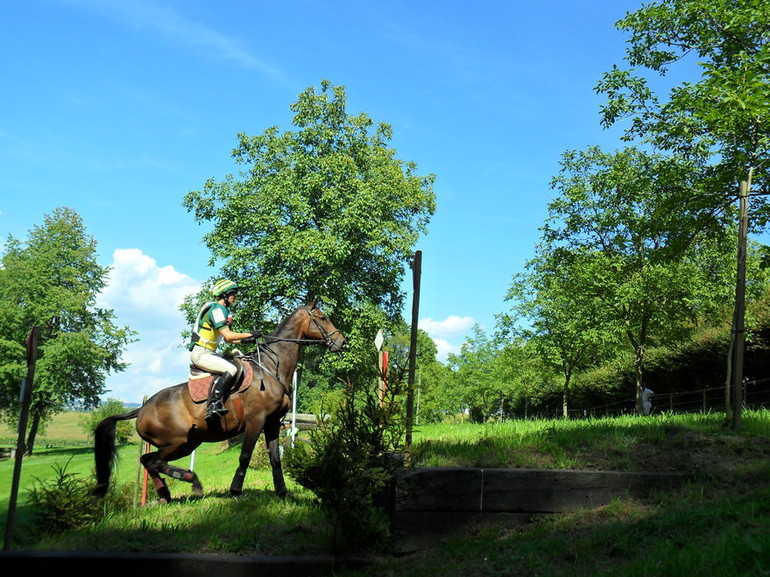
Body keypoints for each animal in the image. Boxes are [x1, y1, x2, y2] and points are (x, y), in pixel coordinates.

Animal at [91, 300, 344, 502]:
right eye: (323, 318)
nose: (341, 342)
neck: (271, 368)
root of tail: (142, 408)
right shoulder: (256, 421)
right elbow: (245, 456)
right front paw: (236, 490)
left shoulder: (272, 423)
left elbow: (275, 459)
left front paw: (282, 492)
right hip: (176, 441)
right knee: (153, 462)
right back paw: (190, 479)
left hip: (187, 443)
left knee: (148, 460)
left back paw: (166, 494)